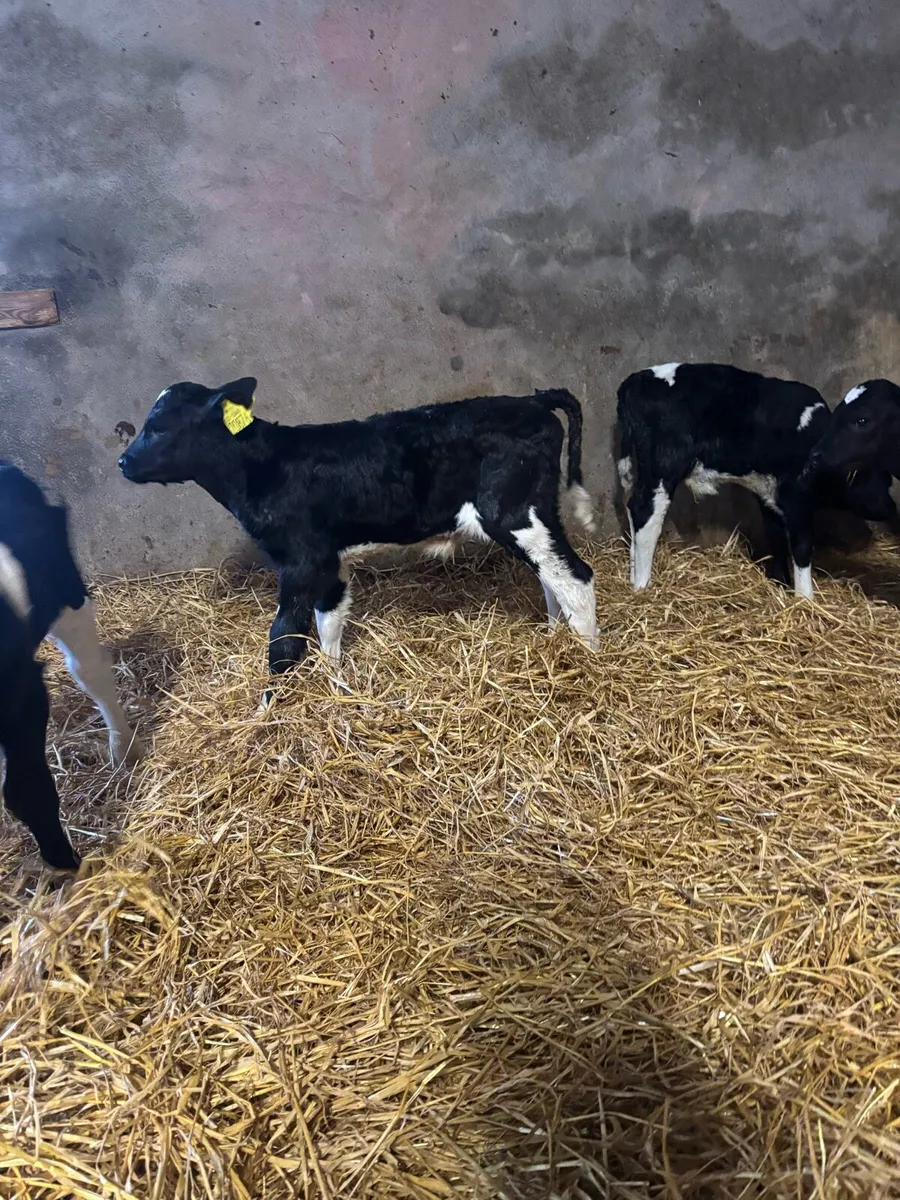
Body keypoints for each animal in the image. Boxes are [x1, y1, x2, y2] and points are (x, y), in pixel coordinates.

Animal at [0, 461, 142, 869]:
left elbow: (25, 789)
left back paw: (124, 747)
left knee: (89, 669)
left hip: (65, 589)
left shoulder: (23, 695)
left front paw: (66, 862)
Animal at [119, 379, 599, 682]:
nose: (123, 462)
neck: (265, 467)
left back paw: (589, 660)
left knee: (575, 576)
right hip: (534, 519)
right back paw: (555, 642)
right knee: (552, 576)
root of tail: (532, 402)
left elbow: (283, 639)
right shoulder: (328, 563)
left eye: (158, 426)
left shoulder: (300, 562)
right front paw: (336, 692)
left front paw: (268, 717)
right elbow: (328, 625)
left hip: (515, 514)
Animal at [616, 363, 896, 595]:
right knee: (646, 514)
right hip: (663, 466)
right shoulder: (797, 497)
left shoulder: (768, 495)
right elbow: (802, 546)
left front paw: (781, 585)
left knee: (632, 508)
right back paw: (642, 585)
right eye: (878, 479)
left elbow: (776, 537)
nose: (891, 508)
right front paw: (805, 599)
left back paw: (632, 576)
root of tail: (634, 380)